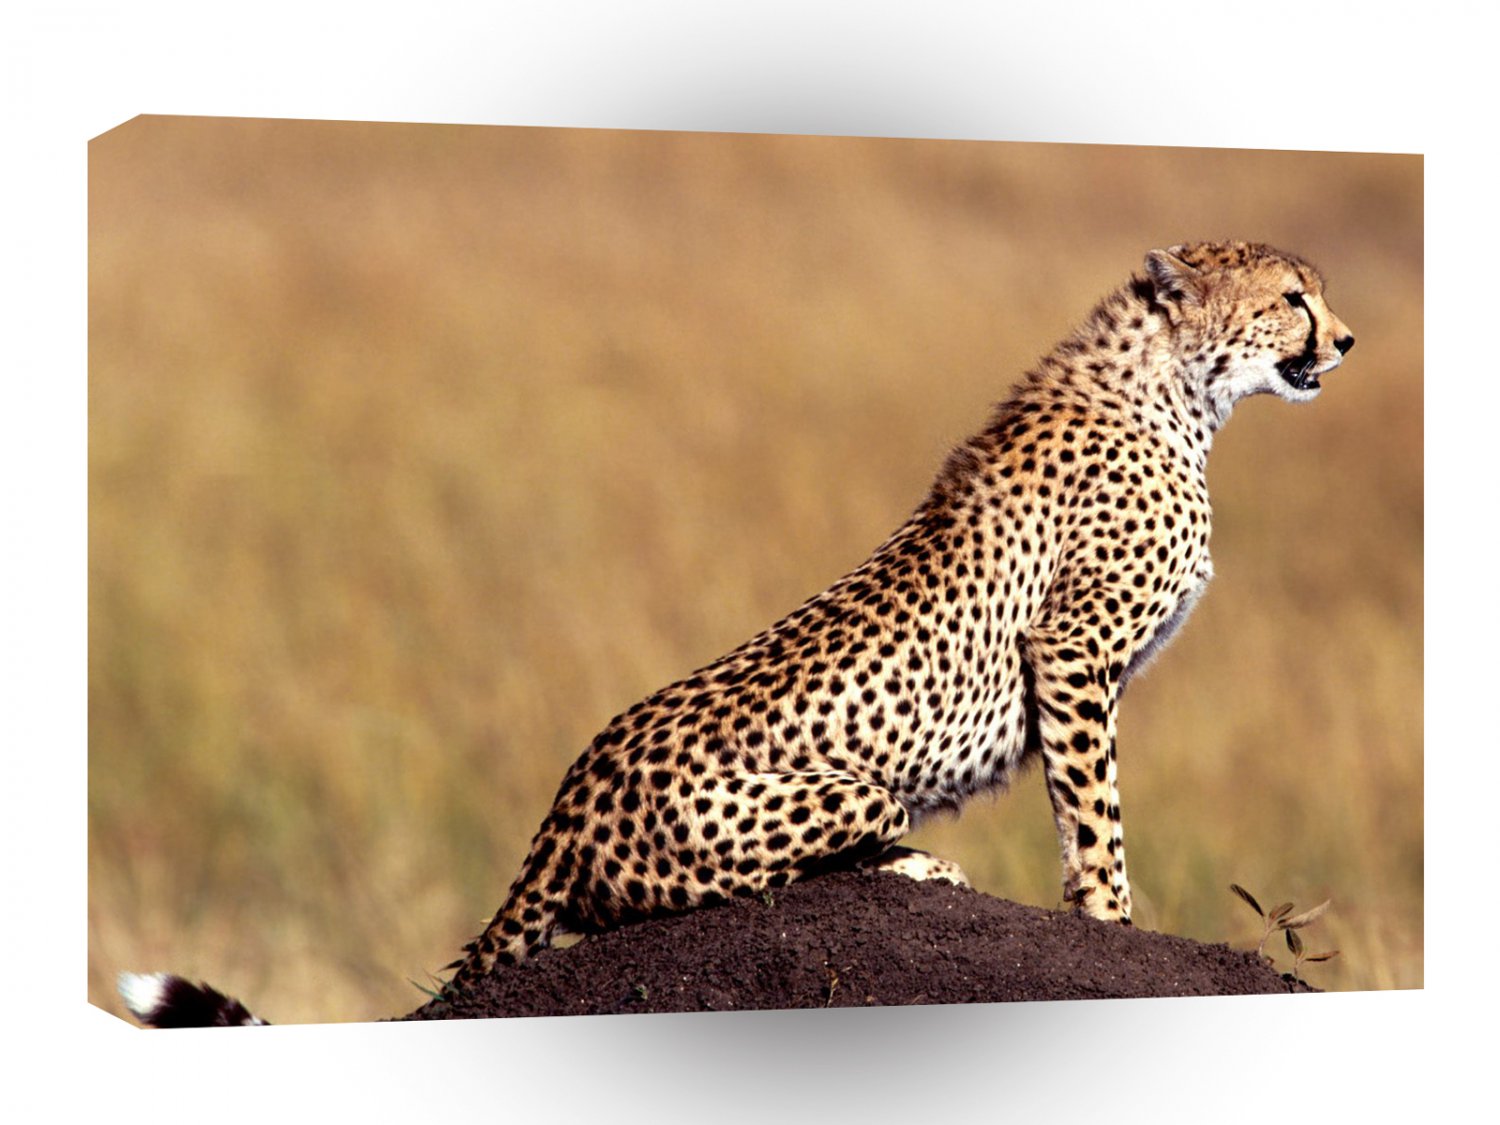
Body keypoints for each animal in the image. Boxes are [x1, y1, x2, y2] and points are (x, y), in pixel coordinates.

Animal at [119, 240, 1354, 1027]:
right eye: (1293, 296)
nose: (1345, 340)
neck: (1179, 391)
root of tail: (570, 790)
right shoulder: (1071, 653)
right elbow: (1095, 818)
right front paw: (1114, 921)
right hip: (839, 793)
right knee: (692, 894)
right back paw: (919, 863)